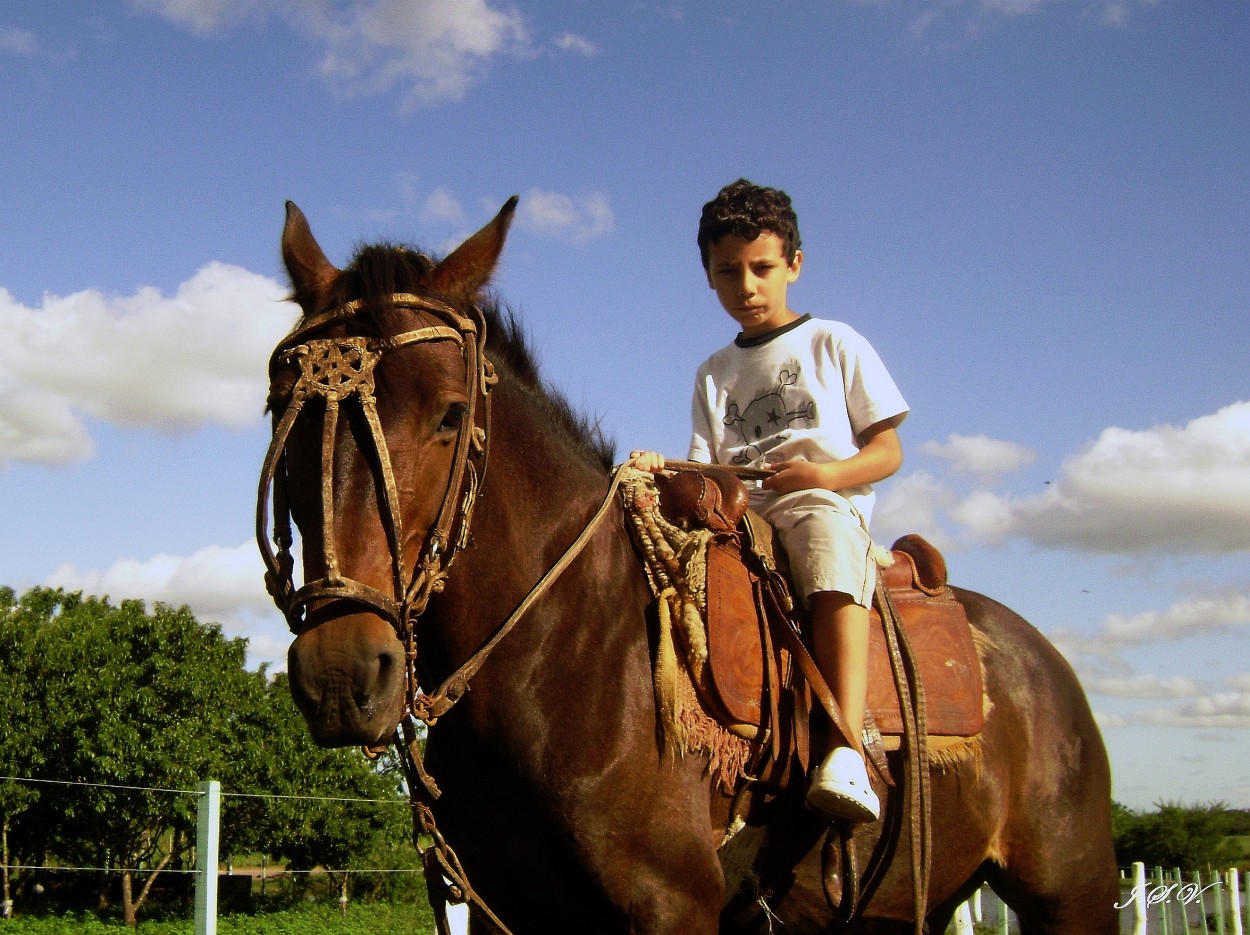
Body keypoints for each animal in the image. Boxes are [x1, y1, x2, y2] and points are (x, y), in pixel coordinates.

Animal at [258, 198, 1120, 935]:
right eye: (279, 410)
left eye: (450, 413)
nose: (341, 673)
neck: (565, 655)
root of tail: (1043, 662)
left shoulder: (669, 906)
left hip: (1073, 896)